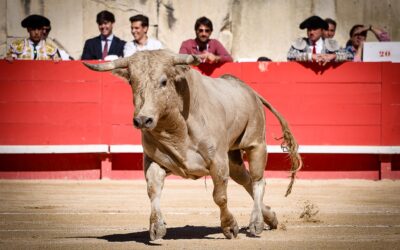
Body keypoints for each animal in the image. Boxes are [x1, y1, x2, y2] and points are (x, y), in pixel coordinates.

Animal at [83, 50, 300, 240]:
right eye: (132, 82)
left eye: (164, 81)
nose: (143, 120)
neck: (176, 128)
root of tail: (249, 90)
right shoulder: (154, 160)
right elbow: (153, 190)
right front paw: (156, 227)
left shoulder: (218, 161)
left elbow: (219, 196)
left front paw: (230, 227)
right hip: (233, 158)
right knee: (246, 180)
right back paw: (270, 217)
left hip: (256, 143)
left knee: (257, 180)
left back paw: (256, 223)